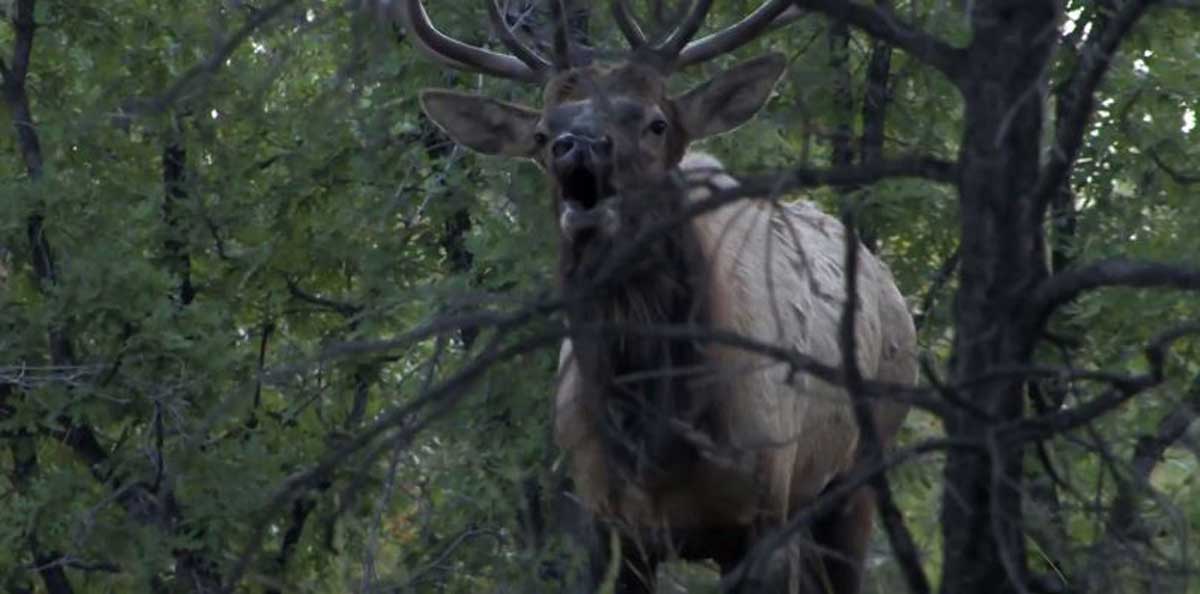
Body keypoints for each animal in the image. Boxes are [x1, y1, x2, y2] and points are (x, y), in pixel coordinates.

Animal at [398, 2, 912, 592]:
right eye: (543, 132)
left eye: (655, 122)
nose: (577, 147)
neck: (657, 444)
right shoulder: (607, 523)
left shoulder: (762, 507)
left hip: (860, 467)